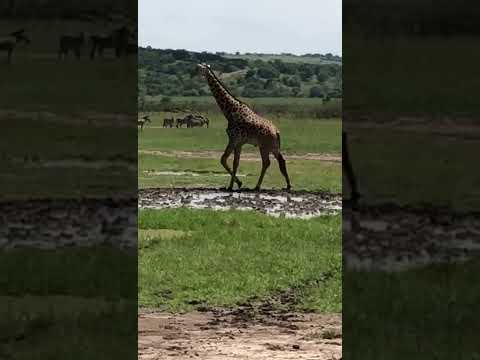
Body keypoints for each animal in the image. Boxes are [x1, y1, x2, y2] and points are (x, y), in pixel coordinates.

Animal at [197, 62, 290, 191]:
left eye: (198, 68)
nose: (193, 74)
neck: (230, 111)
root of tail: (277, 132)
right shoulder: (239, 142)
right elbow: (235, 162)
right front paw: (234, 185)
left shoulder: (233, 138)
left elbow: (224, 159)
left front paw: (235, 184)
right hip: (274, 147)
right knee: (281, 160)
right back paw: (288, 185)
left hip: (264, 147)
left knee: (266, 162)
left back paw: (257, 186)